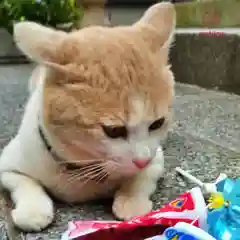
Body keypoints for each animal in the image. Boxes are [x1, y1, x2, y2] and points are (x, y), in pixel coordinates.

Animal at [0, 1, 176, 231]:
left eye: (157, 124)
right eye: (113, 131)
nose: (141, 160)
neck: (82, 166)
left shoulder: (156, 159)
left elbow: (141, 179)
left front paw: (131, 201)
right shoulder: (7, 166)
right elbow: (25, 183)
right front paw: (33, 209)